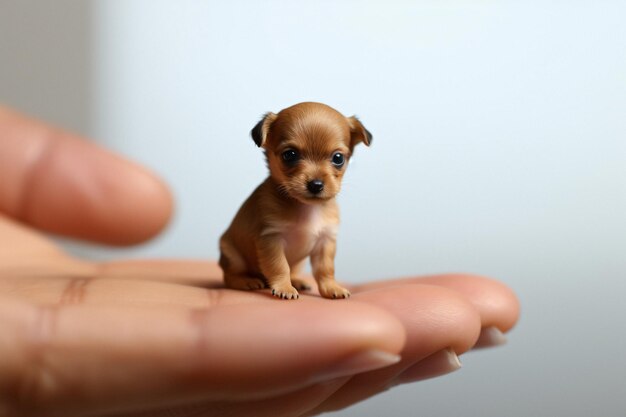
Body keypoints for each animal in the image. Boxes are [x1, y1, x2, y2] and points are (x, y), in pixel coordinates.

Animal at [218, 103, 370, 300]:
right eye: (290, 155)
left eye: (338, 158)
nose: (316, 184)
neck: (306, 207)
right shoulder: (271, 238)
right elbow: (279, 266)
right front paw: (284, 288)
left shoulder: (325, 242)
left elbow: (325, 269)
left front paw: (331, 288)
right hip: (232, 256)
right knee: (229, 276)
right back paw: (245, 281)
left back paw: (297, 281)